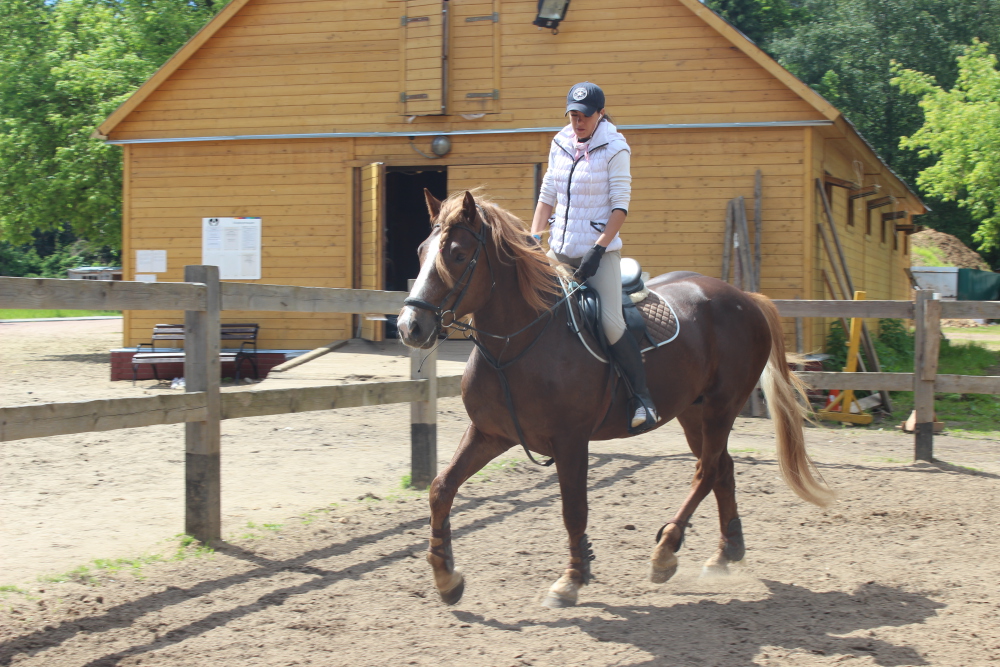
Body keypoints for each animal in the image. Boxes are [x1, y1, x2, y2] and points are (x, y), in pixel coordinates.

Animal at [394, 190, 832, 608]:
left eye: (457, 254)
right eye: (420, 251)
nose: (410, 327)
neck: (518, 345)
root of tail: (745, 297)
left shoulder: (571, 441)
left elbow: (574, 510)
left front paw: (571, 581)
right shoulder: (490, 434)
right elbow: (441, 489)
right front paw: (446, 576)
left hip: (722, 408)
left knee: (706, 471)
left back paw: (666, 551)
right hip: (694, 414)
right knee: (721, 469)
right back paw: (725, 554)